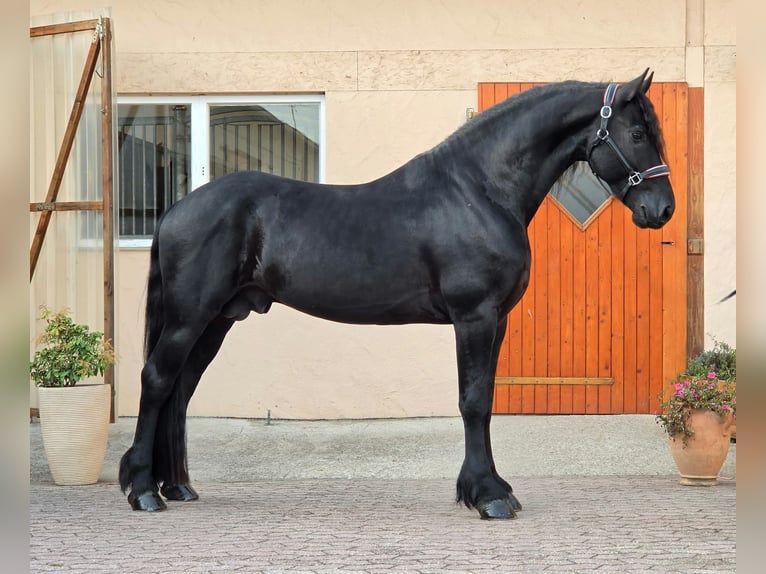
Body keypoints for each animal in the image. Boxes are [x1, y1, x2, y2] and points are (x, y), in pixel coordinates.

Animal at [120, 69, 674, 519]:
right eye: (637, 133)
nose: (663, 209)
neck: (480, 190)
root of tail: (175, 210)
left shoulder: (497, 320)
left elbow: (486, 398)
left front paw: (492, 488)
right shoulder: (475, 316)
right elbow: (473, 401)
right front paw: (488, 495)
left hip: (217, 319)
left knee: (181, 389)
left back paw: (177, 486)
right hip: (191, 317)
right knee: (157, 380)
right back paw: (143, 490)